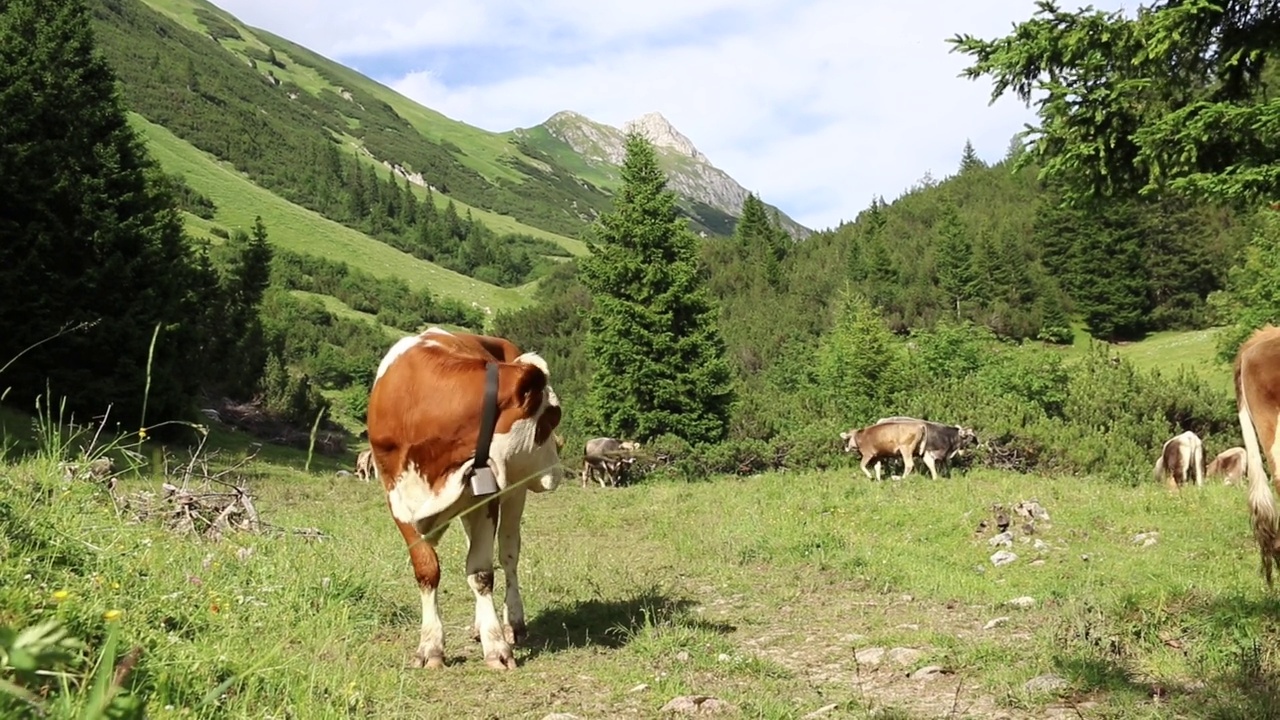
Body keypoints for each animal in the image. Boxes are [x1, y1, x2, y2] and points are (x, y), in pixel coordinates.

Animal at [360, 325, 560, 666]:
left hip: (515, 491)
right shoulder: (396, 499)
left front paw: (496, 646)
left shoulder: (487, 498)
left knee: (508, 555)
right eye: (551, 418)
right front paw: (430, 647)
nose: (558, 468)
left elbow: (481, 572)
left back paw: (513, 624)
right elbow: (427, 570)